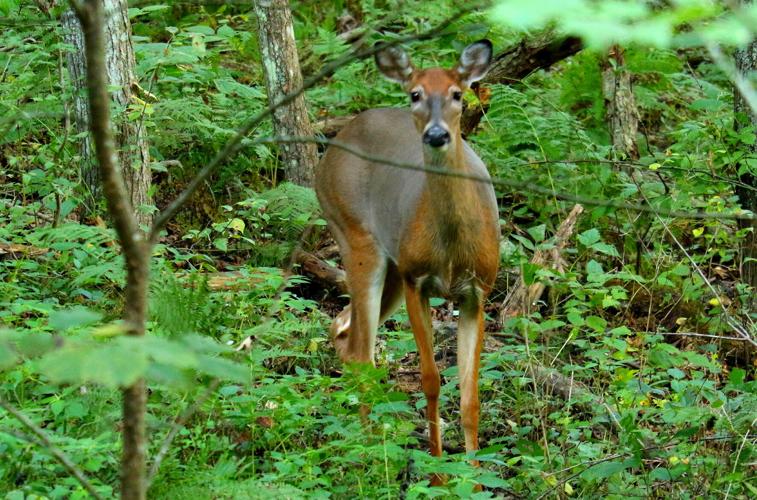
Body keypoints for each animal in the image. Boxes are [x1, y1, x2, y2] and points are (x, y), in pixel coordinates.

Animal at [315, 40, 500, 469]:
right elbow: (431, 381)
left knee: (342, 328)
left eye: (457, 93)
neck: (452, 249)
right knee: (361, 350)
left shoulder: (478, 291)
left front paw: (475, 472)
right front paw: (437, 472)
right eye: (414, 94)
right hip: (356, 235)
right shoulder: (419, 280)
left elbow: (471, 397)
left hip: (393, 269)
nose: (436, 134)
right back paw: (369, 450)